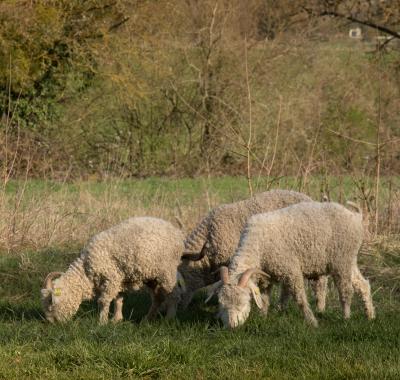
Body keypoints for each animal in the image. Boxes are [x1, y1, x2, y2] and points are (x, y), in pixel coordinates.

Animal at [40, 217, 184, 324]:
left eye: (51, 303)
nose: (52, 323)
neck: (86, 271)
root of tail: (177, 233)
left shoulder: (110, 278)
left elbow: (104, 301)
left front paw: (102, 322)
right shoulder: (119, 278)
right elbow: (118, 299)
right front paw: (116, 319)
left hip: (167, 271)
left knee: (174, 295)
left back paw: (169, 319)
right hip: (152, 276)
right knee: (158, 298)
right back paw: (147, 319)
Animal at [181, 190, 328, 312]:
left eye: (181, 277)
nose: (180, 309)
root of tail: (311, 200)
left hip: (315, 253)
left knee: (320, 282)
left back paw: (320, 308)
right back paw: (282, 307)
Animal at [209, 200, 376, 328]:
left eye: (243, 302)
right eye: (221, 304)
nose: (231, 327)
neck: (257, 243)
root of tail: (356, 216)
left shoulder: (290, 270)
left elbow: (300, 298)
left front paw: (312, 322)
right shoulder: (266, 276)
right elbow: (264, 298)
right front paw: (263, 316)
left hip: (341, 261)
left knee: (346, 290)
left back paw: (346, 317)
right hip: (349, 260)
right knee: (362, 284)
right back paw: (370, 315)